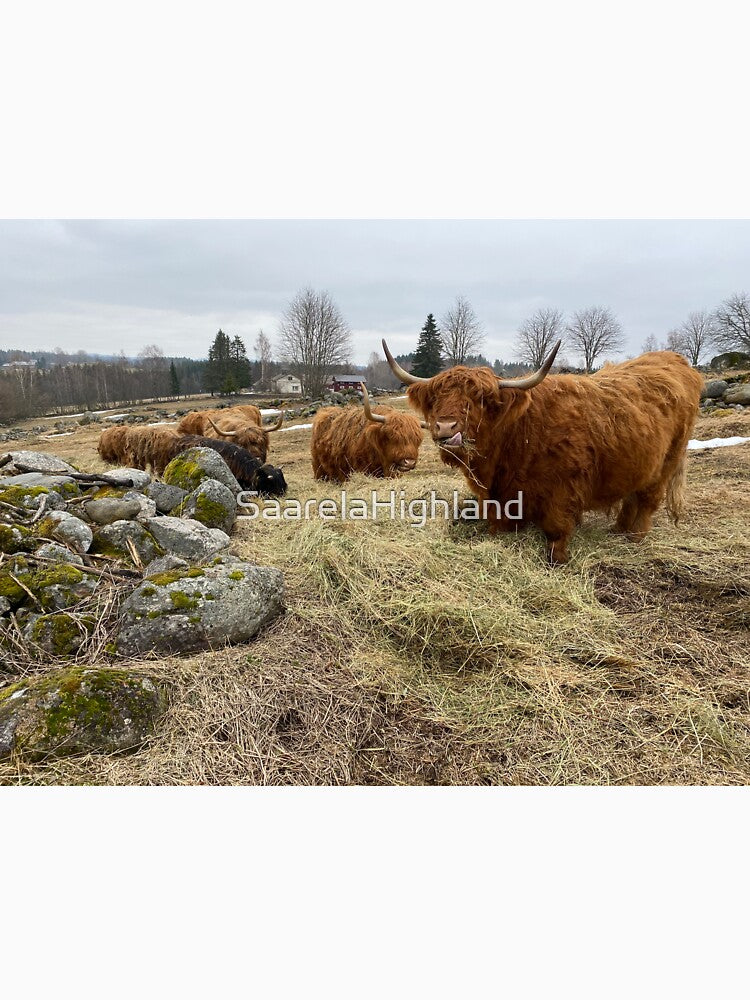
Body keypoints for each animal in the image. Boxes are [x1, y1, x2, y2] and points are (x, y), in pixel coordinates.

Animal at [382, 340, 704, 564]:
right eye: (436, 398)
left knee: (647, 500)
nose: (446, 427)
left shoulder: (562, 491)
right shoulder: (500, 498)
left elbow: (557, 531)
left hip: (667, 461)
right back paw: (618, 530)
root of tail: (674, 360)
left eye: (481, 398)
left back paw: (634, 538)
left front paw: (557, 560)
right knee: (631, 498)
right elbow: (498, 526)